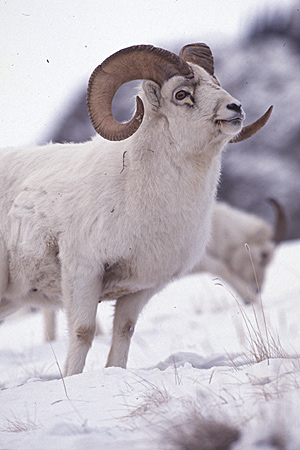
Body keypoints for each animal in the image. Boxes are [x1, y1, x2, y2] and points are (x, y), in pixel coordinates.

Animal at [0, 43, 272, 376]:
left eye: (214, 82)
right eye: (181, 94)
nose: (235, 108)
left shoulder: (139, 289)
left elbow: (124, 332)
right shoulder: (83, 272)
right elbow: (83, 332)